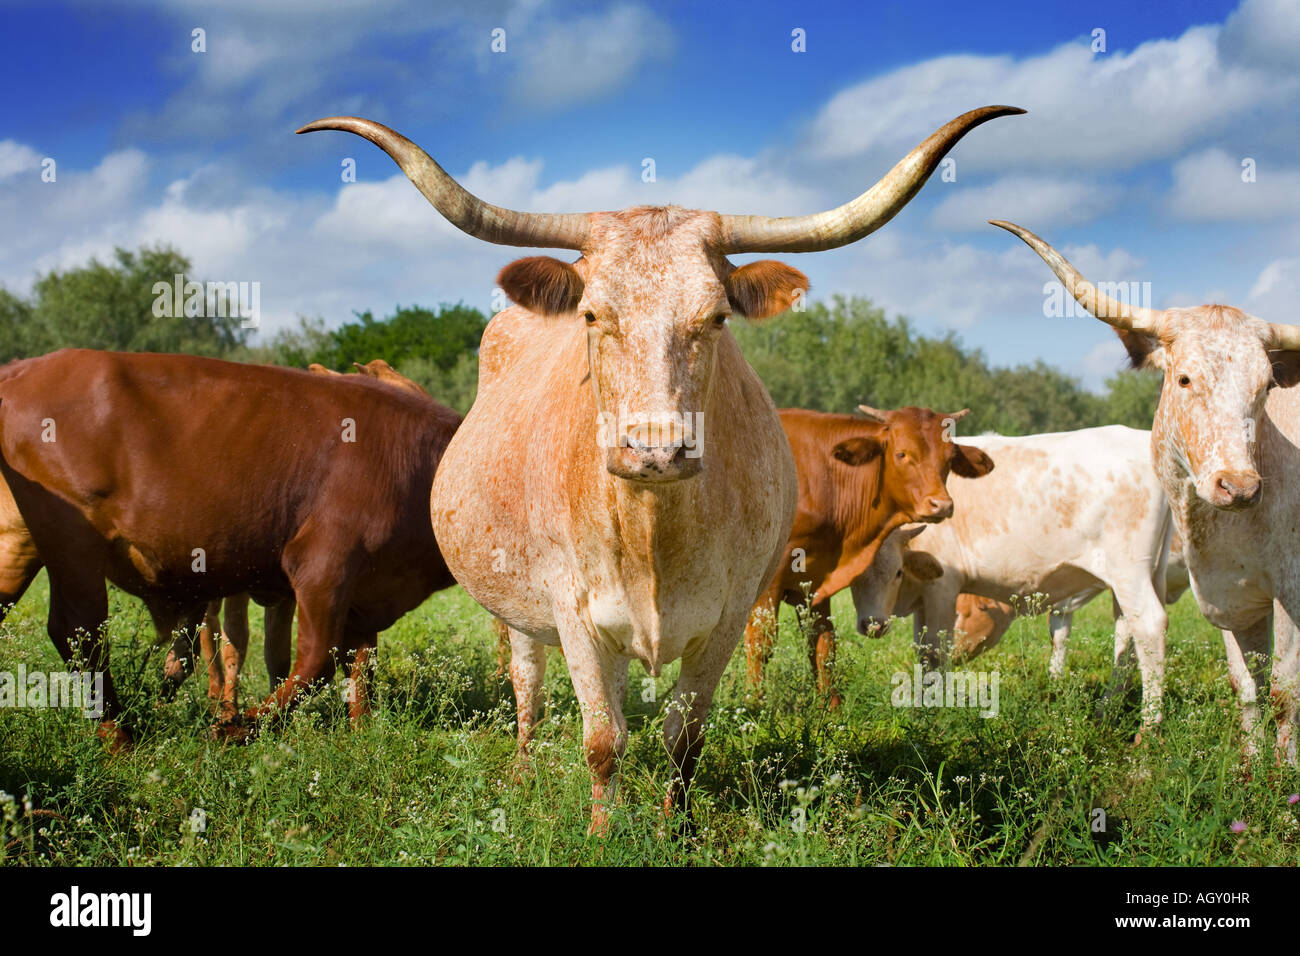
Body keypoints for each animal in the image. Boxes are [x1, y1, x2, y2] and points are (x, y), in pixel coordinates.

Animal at [0, 349, 461, 747]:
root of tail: (24, 367)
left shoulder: (365, 589)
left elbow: (358, 665)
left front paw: (362, 737)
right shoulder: (323, 562)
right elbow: (316, 661)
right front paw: (236, 726)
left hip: (19, 542)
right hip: (73, 546)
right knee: (79, 631)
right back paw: (121, 740)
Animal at [743, 405, 994, 706]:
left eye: (949, 458)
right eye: (902, 454)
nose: (941, 504)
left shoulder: (816, 582)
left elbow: (823, 644)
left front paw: (831, 707)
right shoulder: (768, 583)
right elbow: (762, 643)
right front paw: (754, 706)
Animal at [850, 424, 1172, 725]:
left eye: (898, 572)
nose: (873, 625)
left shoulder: (942, 585)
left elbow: (937, 653)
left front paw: (935, 710)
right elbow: (923, 652)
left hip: (1129, 571)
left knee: (1149, 626)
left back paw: (1148, 726)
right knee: (1126, 634)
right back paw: (1106, 709)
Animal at [991, 220, 1300, 763]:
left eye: (1265, 387)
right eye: (1184, 378)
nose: (1239, 486)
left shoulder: (1292, 591)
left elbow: (1286, 693)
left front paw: (1284, 783)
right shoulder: (1230, 598)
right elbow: (1247, 685)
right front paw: (1251, 766)